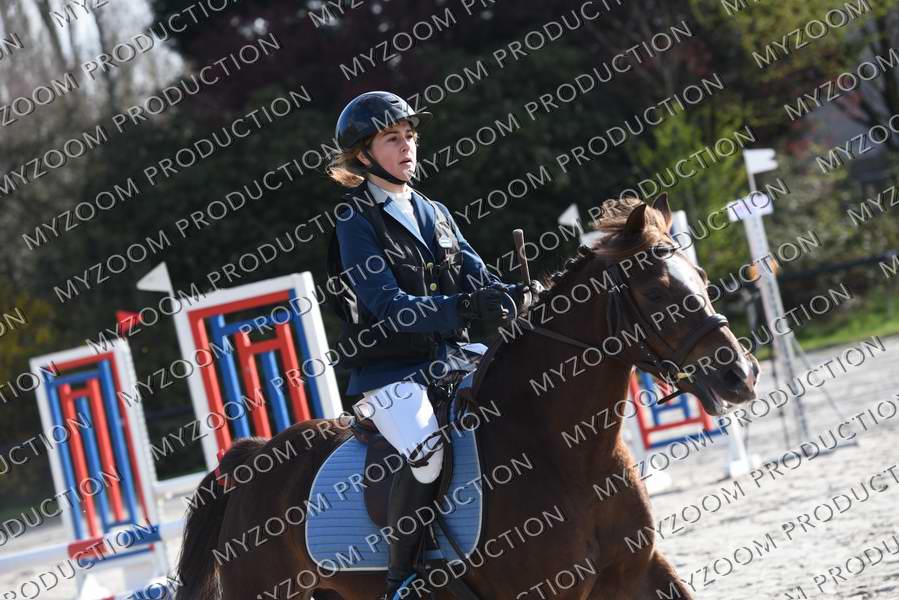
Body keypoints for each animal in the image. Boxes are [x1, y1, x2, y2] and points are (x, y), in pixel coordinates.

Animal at [174, 194, 760, 600]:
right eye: (657, 291)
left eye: (700, 275)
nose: (741, 375)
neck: (570, 454)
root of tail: (252, 459)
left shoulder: (641, 574)